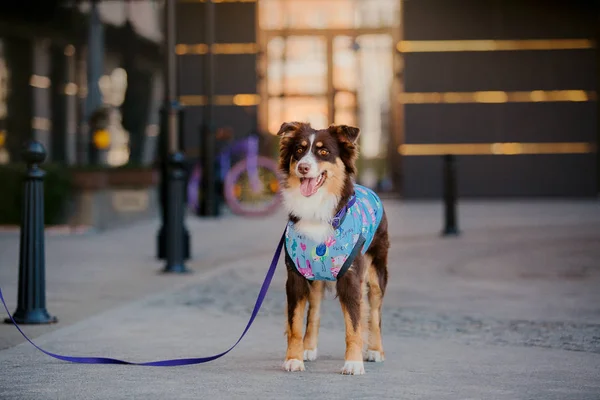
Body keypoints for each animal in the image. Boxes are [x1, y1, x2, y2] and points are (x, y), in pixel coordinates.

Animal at [276, 121, 390, 376]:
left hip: (377, 270)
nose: (303, 167)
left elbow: (354, 325)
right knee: (315, 312)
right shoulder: (295, 276)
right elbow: (295, 322)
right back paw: (308, 348)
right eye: (299, 150)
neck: (316, 210)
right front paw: (293, 359)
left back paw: (375, 350)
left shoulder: (351, 277)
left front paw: (353, 363)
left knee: (375, 312)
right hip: (315, 276)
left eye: (324, 152)